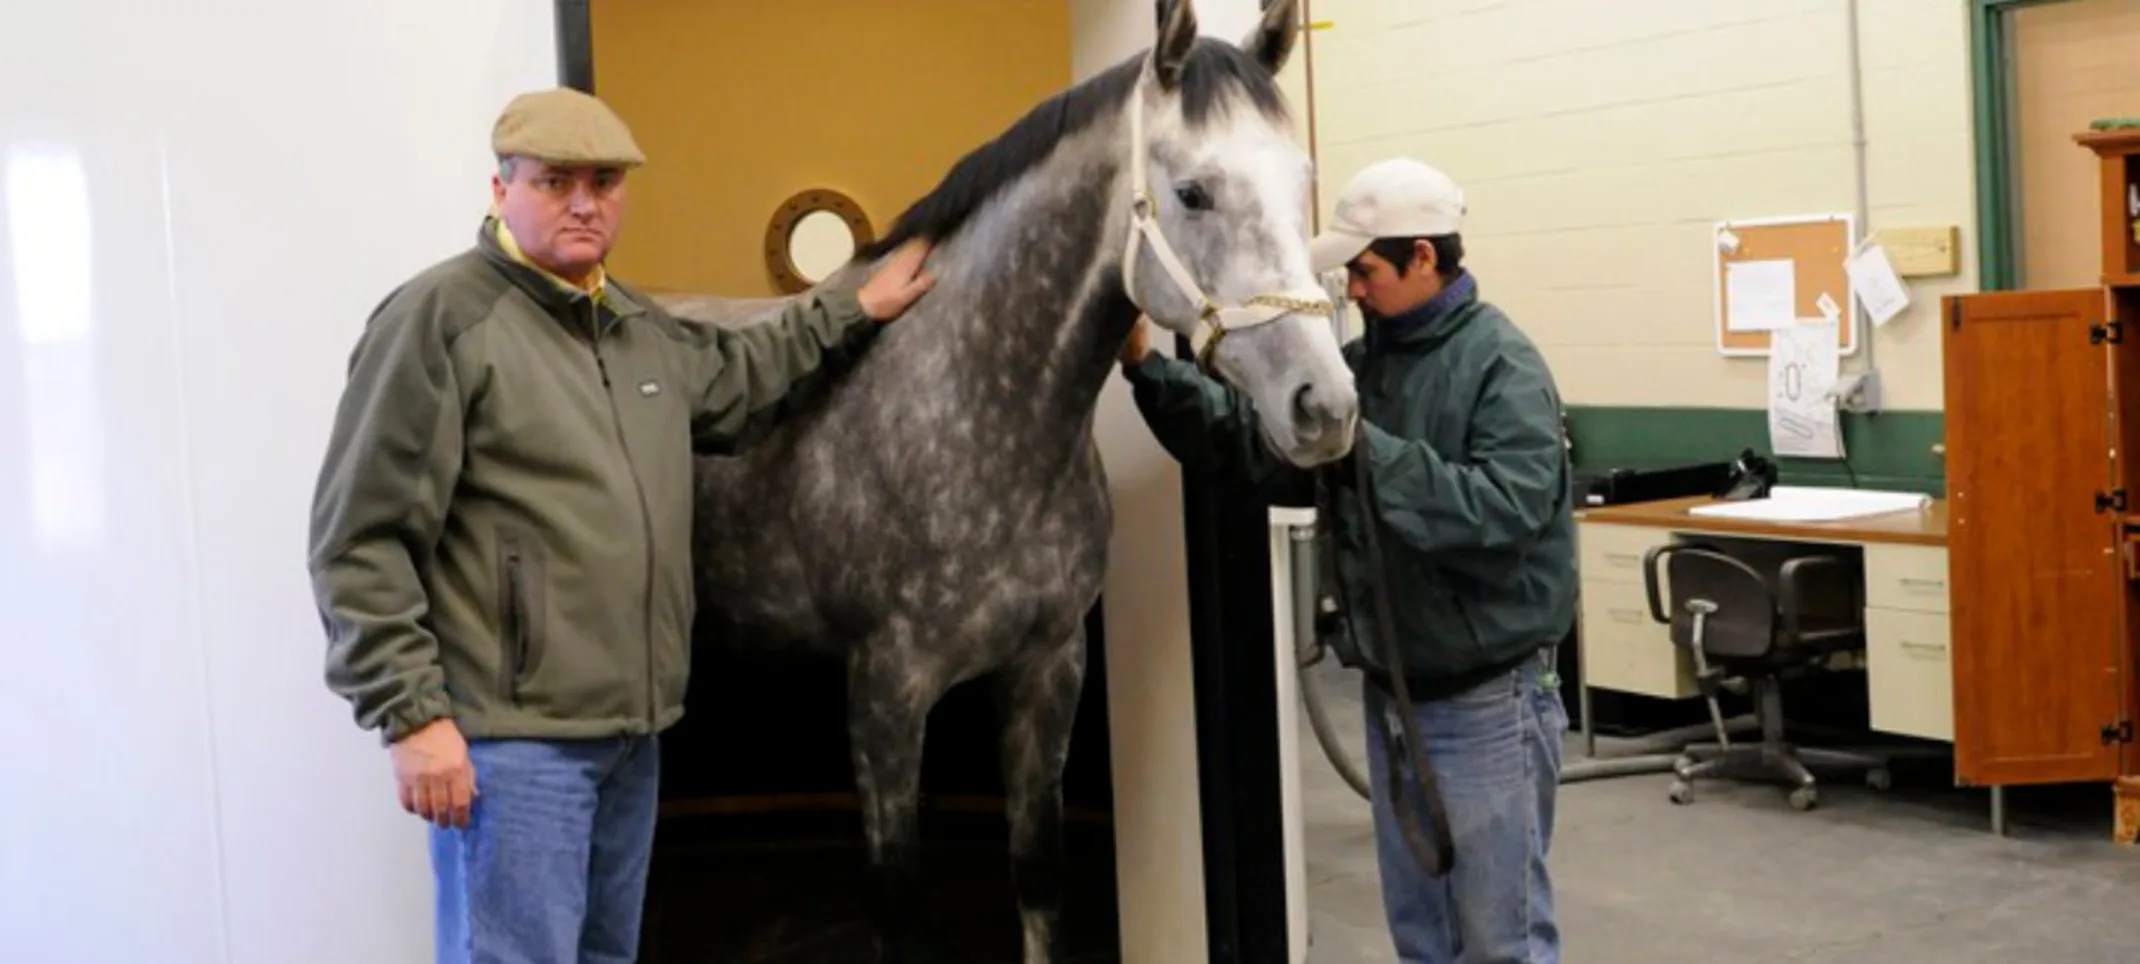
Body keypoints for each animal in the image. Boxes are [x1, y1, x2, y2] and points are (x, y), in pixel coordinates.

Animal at [654, 3, 1352, 959]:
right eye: (1194, 193)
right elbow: (896, 903)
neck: (965, 407)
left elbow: (1038, 876)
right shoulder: (884, 692)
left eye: (1302, 181)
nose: (1325, 404)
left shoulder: (1047, 670)